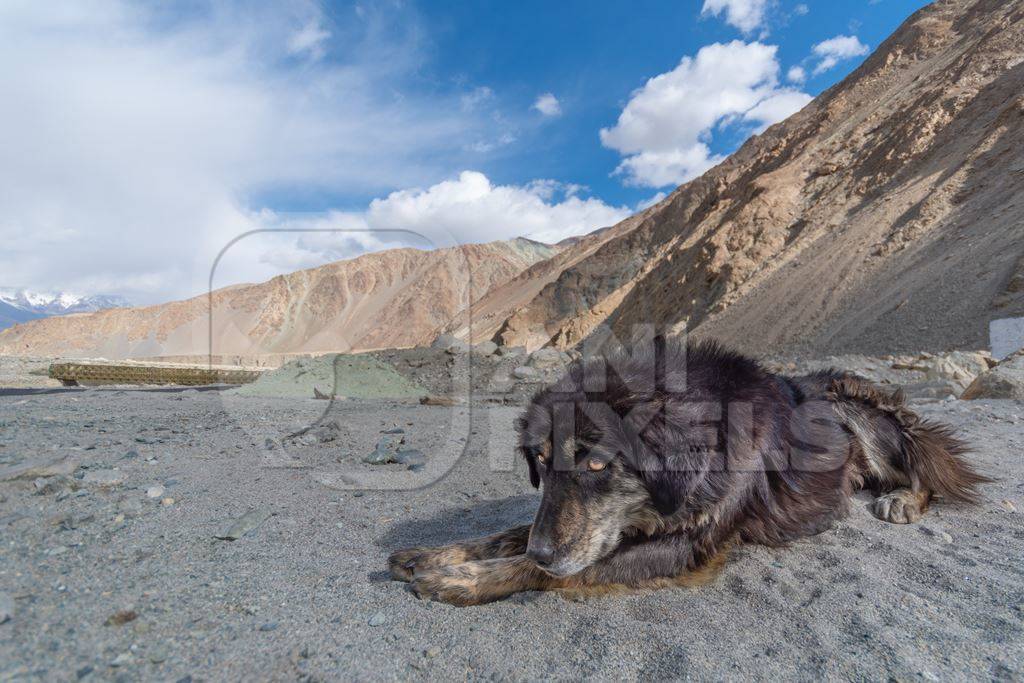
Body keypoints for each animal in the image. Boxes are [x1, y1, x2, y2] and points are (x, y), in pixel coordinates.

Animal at [387, 339, 987, 606]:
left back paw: (905, 499)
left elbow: (557, 571)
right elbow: (509, 534)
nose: (544, 551)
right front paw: (433, 555)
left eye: (598, 463)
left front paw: (459, 580)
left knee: (924, 467)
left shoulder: (689, 545)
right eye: (539, 461)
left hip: (861, 411)